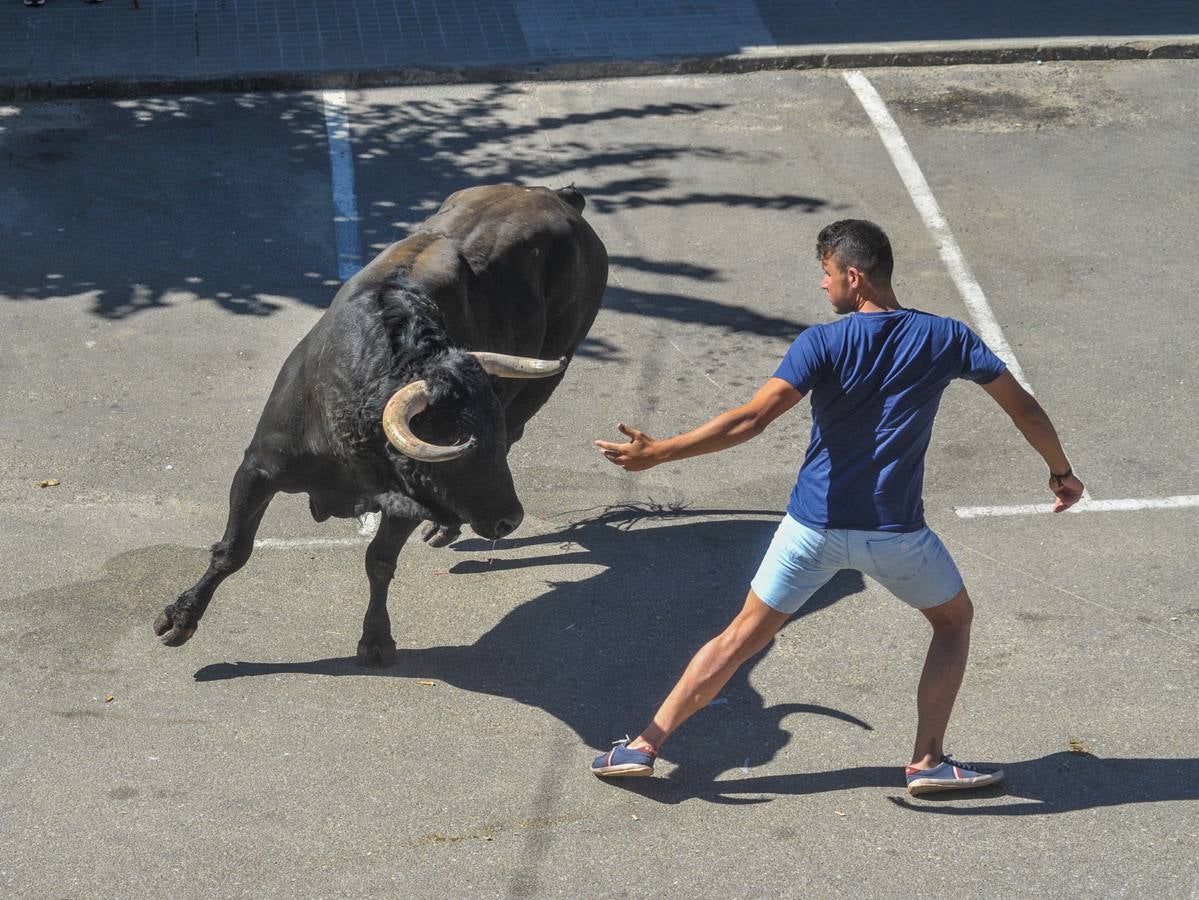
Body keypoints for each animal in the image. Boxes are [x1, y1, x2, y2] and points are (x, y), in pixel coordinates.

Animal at [154, 186, 609, 671]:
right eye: (457, 441)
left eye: (485, 438)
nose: (510, 519)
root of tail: (556, 197)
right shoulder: (260, 468)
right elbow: (232, 550)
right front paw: (180, 619)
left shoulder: (410, 497)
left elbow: (380, 560)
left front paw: (376, 640)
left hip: (543, 383)